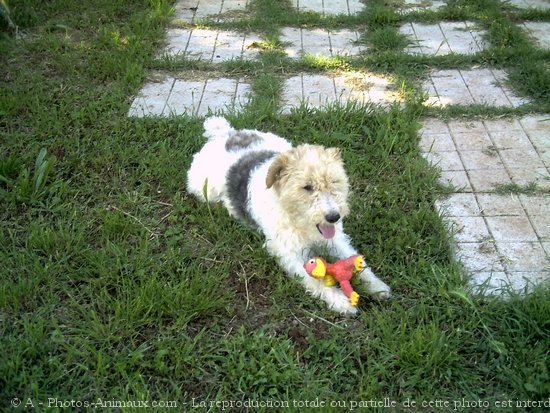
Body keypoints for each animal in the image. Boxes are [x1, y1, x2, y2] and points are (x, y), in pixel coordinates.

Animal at [188, 116, 390, 312]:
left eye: (334, 182)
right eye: (307, 187)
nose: (334, 217)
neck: (300, 222)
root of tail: (224, 134)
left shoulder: (334, 239)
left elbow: (357, 262)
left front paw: (378, 287)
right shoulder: (288, 252)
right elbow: (314, 281)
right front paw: (340, 302)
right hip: (204, 190)